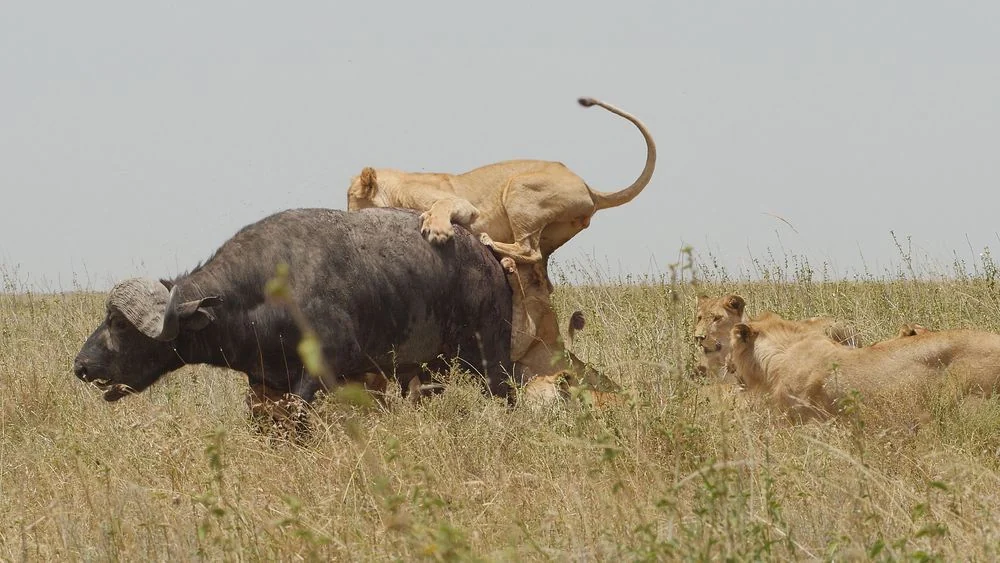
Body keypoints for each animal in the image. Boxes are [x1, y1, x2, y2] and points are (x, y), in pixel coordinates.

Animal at [73, 208, 514, 409]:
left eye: (118, 323)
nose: (81, 366)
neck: (261, 296)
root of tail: (489, 258)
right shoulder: (266, 382)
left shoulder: (325, 367)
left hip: (489, 360)